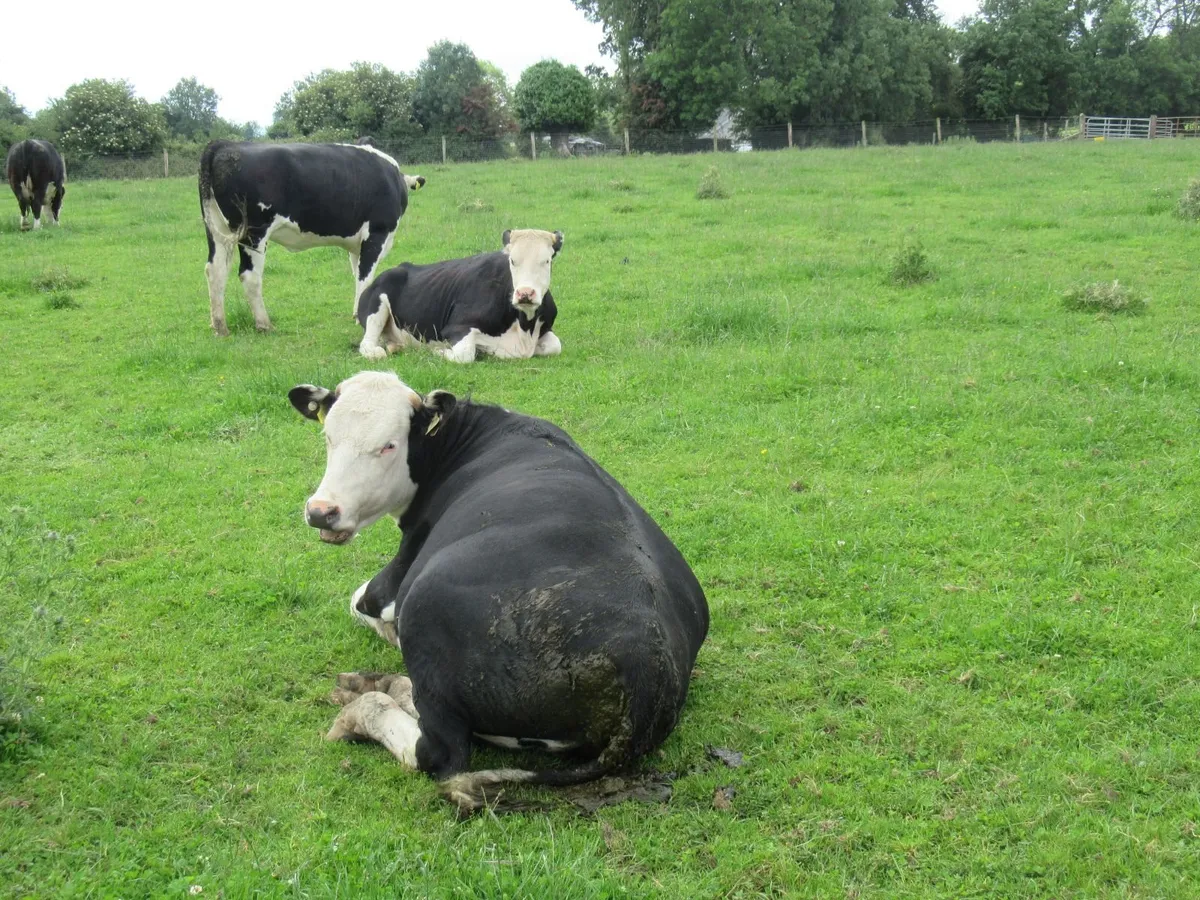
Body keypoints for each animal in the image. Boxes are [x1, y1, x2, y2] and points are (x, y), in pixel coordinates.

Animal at [198, 140, 425, 336]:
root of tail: (225, 144)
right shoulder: (377, 233)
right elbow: (365, 277)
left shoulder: (357, 244)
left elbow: (358, 274)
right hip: (254, 232)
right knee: (249, 276)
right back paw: (264, 324)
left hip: (217, 230)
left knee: (216, 271)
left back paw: (220, 326)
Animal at [288, 371, 709, 811]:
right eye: (328, 437)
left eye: (389, 445)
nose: (322, 511)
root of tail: (649, 665)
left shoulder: (397, 575)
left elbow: (358, 602)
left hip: (424, 602)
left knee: (439, 750)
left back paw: (363, 707)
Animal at [355, 229, 564, 363]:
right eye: (512, 260)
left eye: (546, 260)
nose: (525, 293)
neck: (524, 326)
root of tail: (400, 267)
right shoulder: (456, 327)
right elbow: (464, 354)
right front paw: (439, 352)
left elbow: (555, 345)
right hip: (376, 306)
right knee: (367, 344)